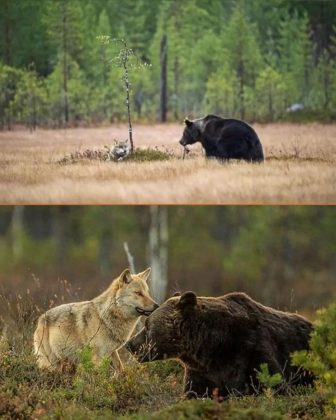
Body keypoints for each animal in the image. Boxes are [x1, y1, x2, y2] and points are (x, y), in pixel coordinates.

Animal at [125, 290, 312, 398]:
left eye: (147, 325)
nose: (129, 344)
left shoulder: (252, 350)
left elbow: (274, 385)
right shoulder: (201, 373)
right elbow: (194, 393)